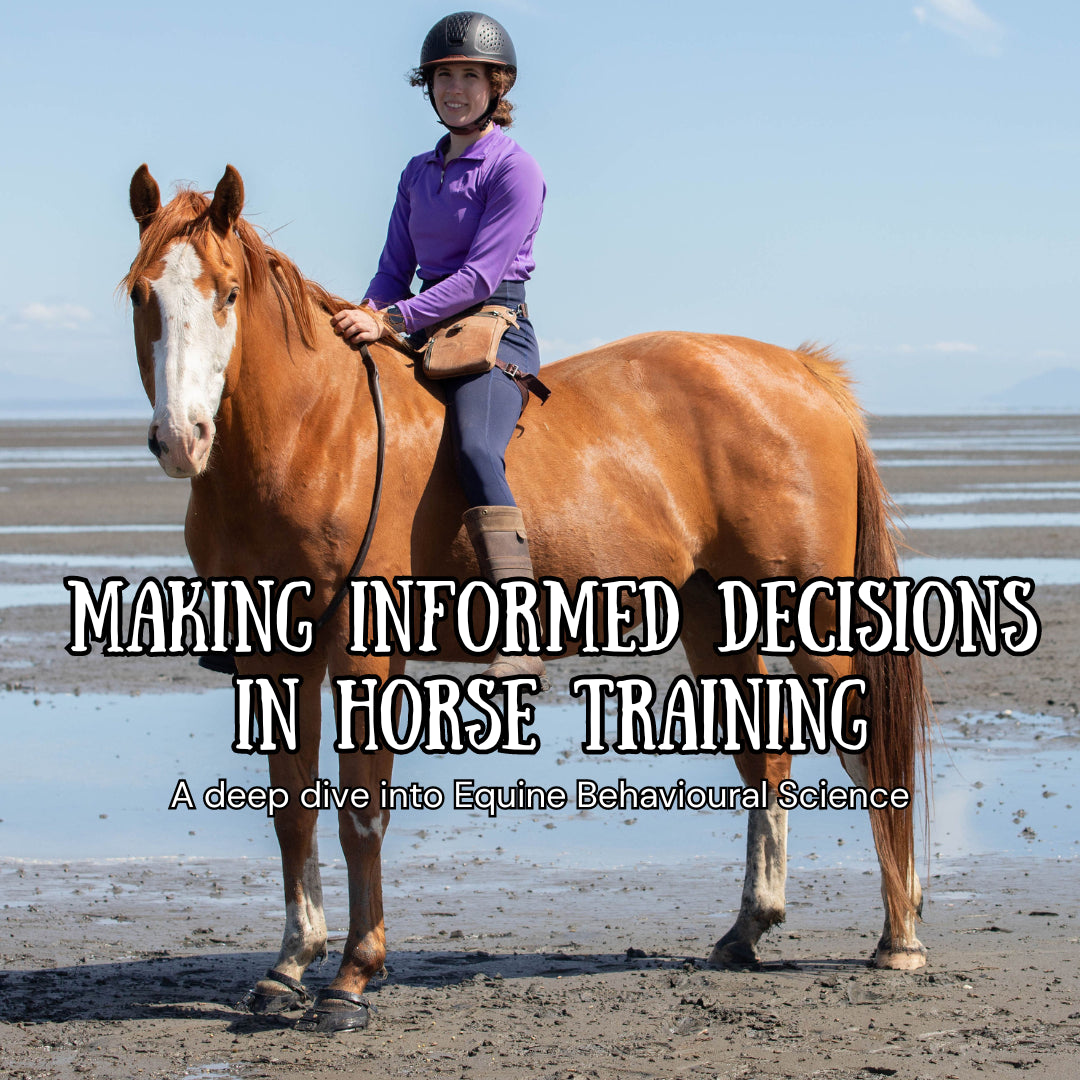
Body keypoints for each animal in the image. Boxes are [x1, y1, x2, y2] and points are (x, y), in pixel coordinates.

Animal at [124, 164, 929, 1032]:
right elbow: (292, 810)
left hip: (812, 616)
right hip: (715, 613)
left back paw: (900, 937)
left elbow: (361, 815)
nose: (182, 438)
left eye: (229, 292)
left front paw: (351, 978)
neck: (314, 432)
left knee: (867, 747)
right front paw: (287, 968)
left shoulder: (366, 655)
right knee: (765, 754)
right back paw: (749, 928)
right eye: (142, 292)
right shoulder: (277, 656)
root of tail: (801, 372)